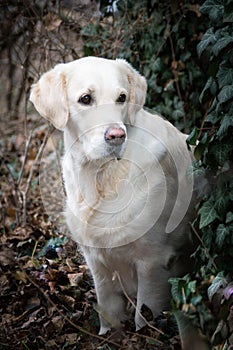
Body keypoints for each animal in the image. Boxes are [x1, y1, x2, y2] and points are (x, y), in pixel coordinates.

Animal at [30, 56, 196, 334]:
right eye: (86, 98)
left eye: (122, 97)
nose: (116, 135)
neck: (101, 176)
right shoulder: (97, 263)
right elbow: (108, 310)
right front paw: (109, 335)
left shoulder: (153, 262)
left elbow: (144, 318)